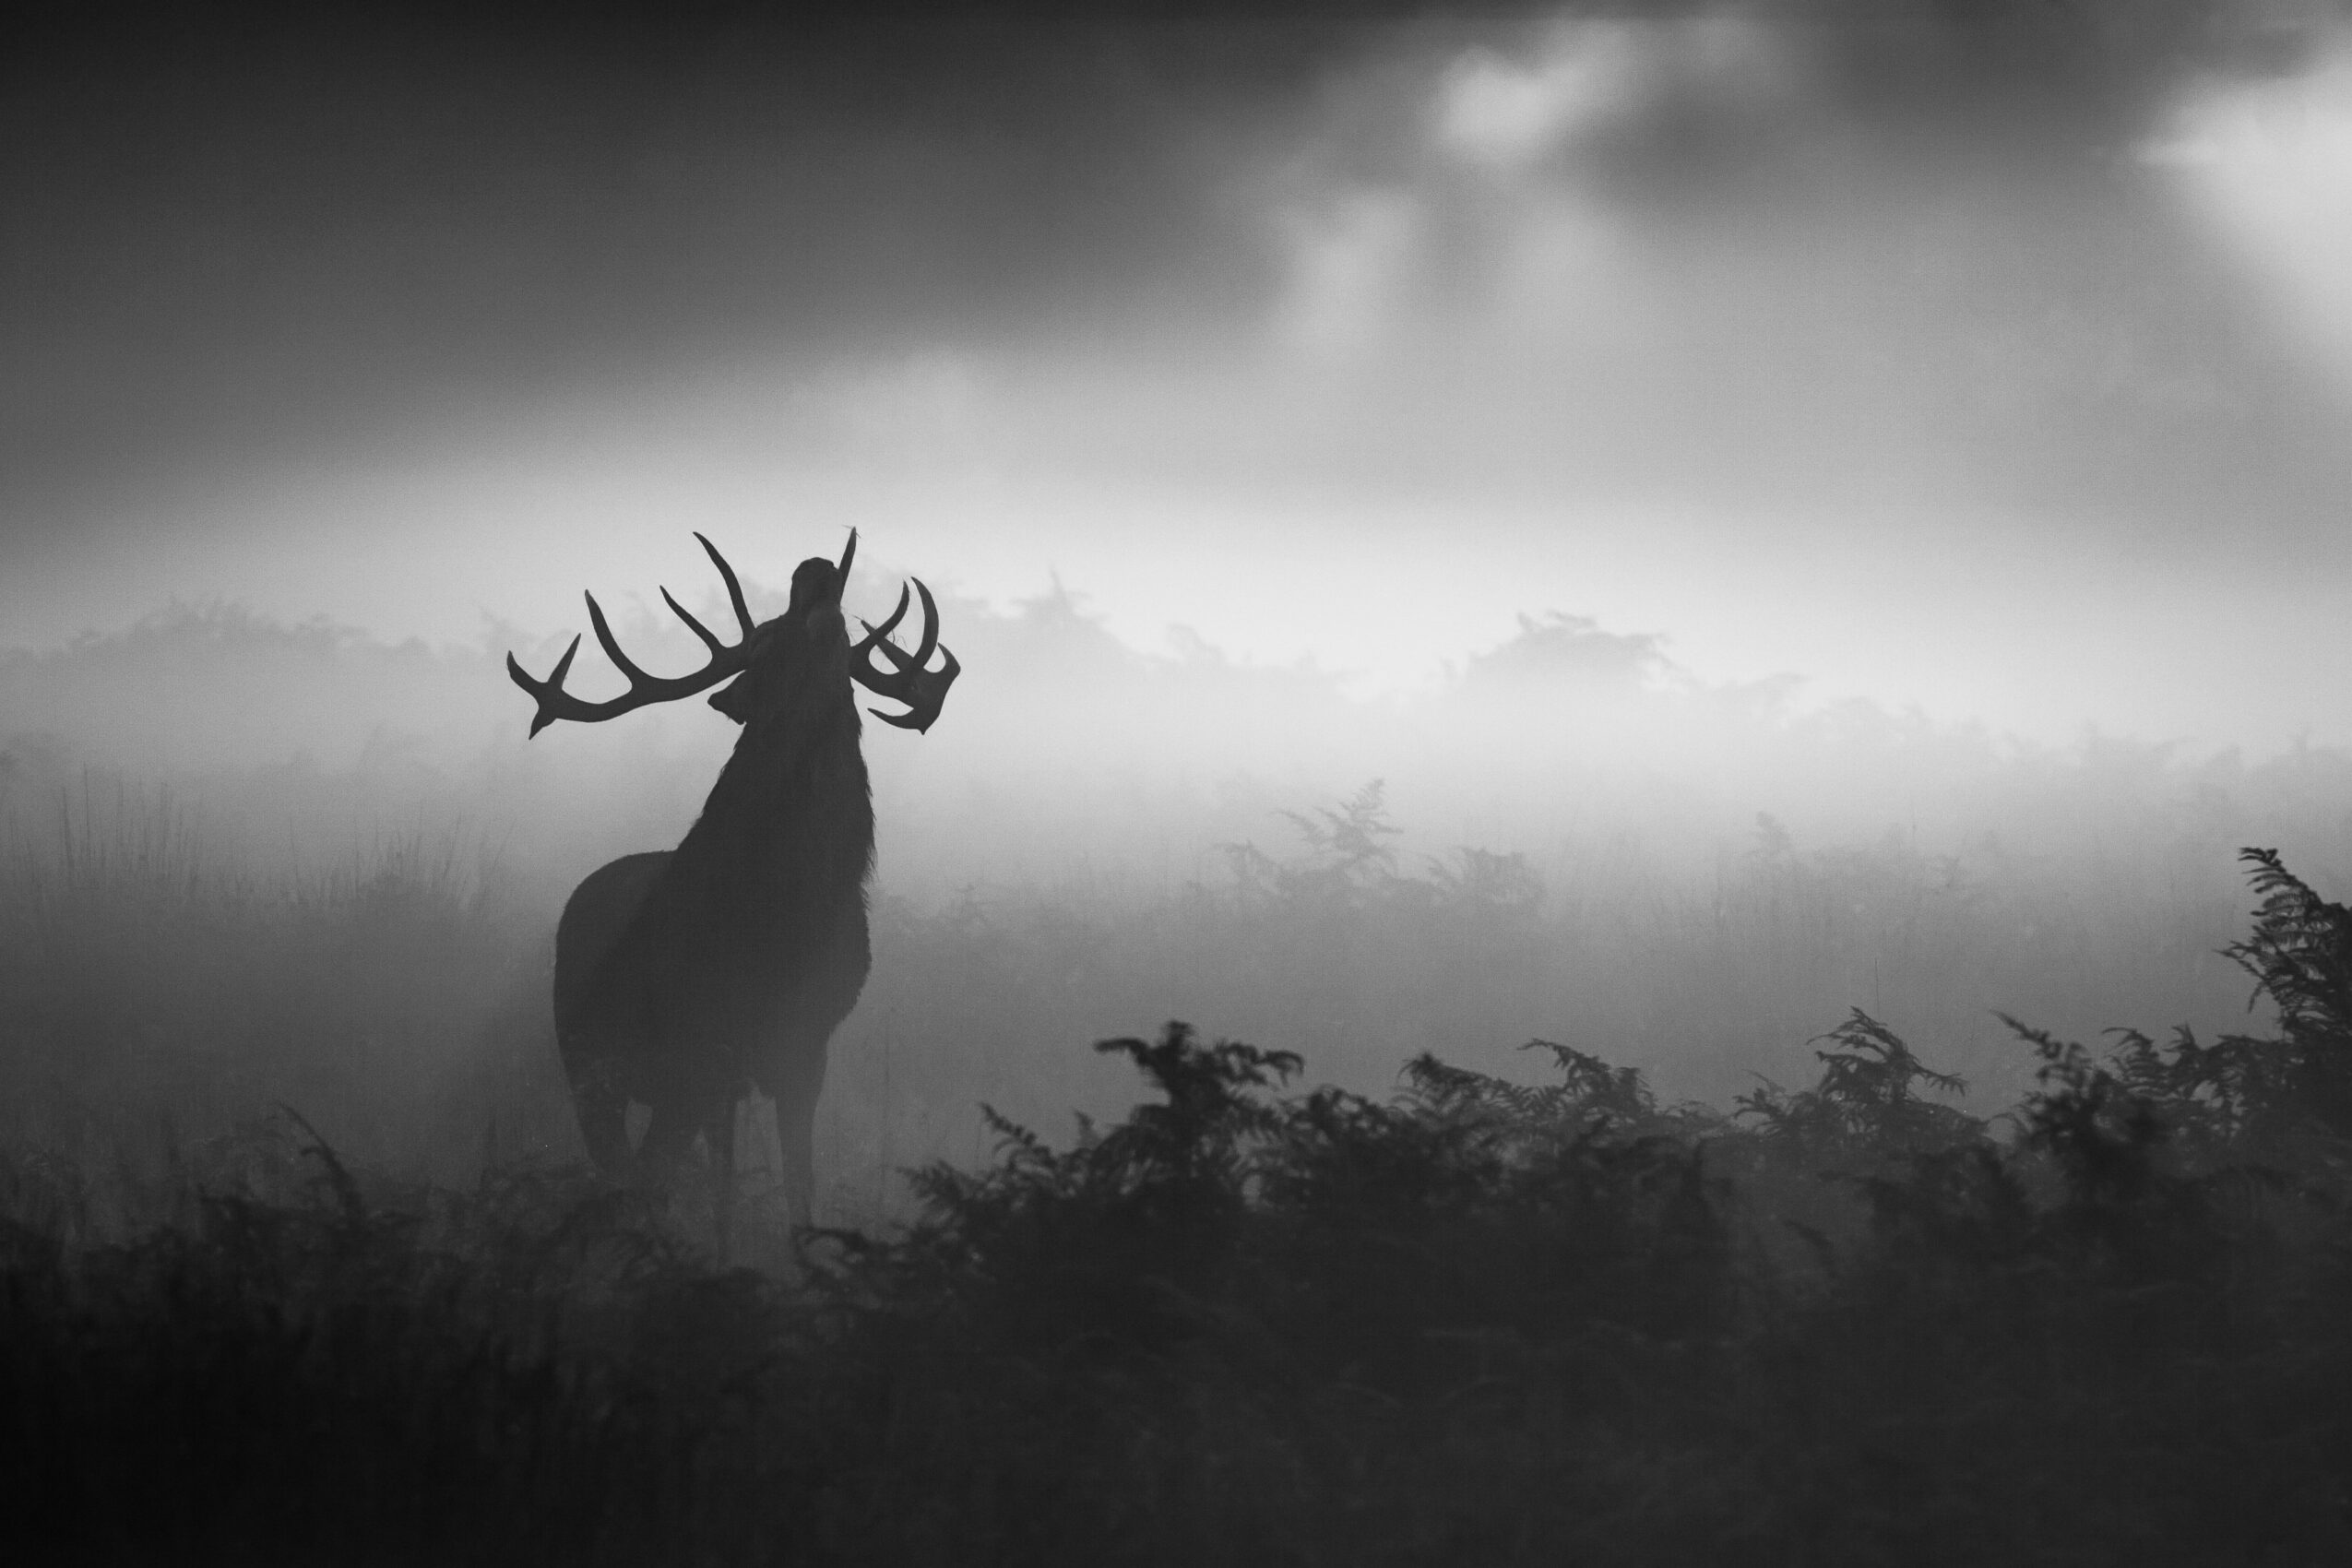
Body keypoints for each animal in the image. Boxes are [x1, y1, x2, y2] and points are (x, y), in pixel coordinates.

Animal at [506, 531, 957, 1245]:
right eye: (772, 642)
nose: (815, 570)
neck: (784, 911)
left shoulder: (803, 1048)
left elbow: (797, 1188)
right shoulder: (700, 1048)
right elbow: (684, 1182)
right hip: (588, 1058)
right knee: (631, 1169)